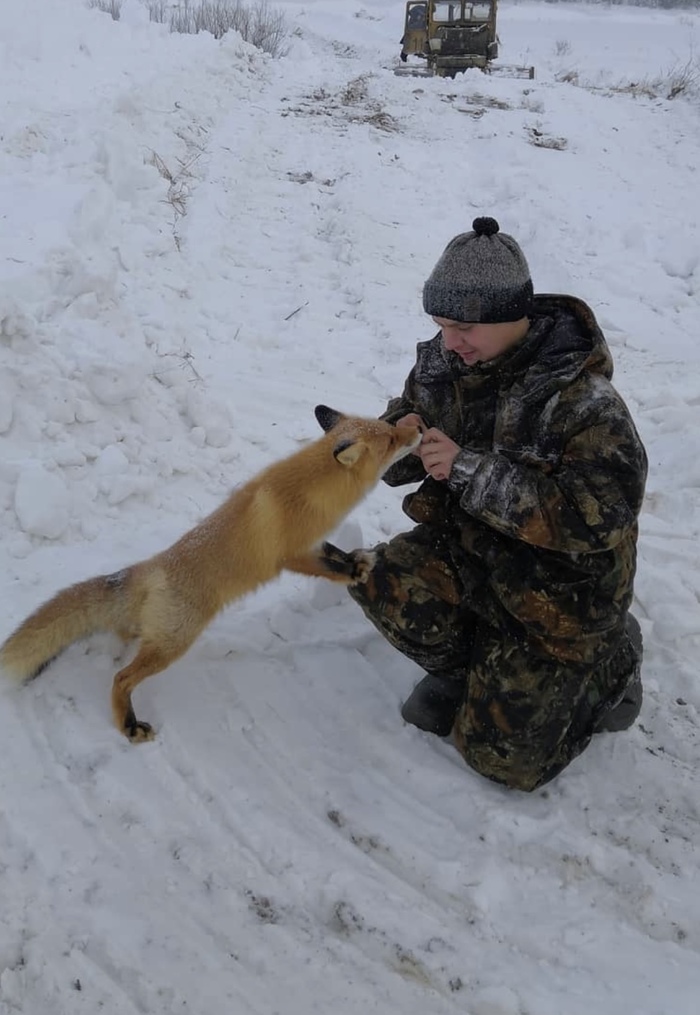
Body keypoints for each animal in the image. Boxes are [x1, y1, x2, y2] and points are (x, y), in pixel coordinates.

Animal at [1, 406, 420, 747]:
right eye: (389, 439)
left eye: (388, 425)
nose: (416, 426)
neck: (315, 490)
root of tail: (151, 566)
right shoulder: (292, 555)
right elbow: (330, 569)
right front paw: (354, 571)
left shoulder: (315, 543)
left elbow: (334, 553)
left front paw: (357, 560)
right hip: (174, 643)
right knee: (121, 678)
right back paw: (129, 726)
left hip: (158, 636)